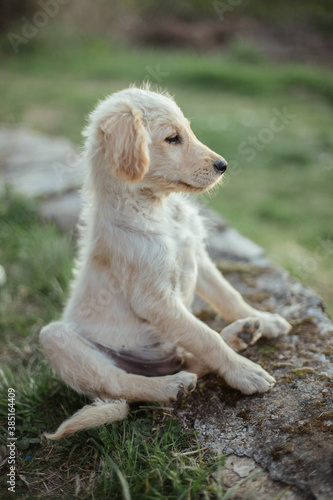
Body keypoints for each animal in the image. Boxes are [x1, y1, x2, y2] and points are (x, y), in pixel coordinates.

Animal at [39, 86, 290, 438]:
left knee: (189, 359)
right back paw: (173, 386)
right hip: (56, 339)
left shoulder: (197, 255)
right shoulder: (154, 299)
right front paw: (244, 373)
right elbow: (205, 336)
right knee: (124, 384)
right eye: (172, 138)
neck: (158, 211)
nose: (223, 165)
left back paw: (239, 335)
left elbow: (228, 296)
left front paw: (263, 319)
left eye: (188, 130)